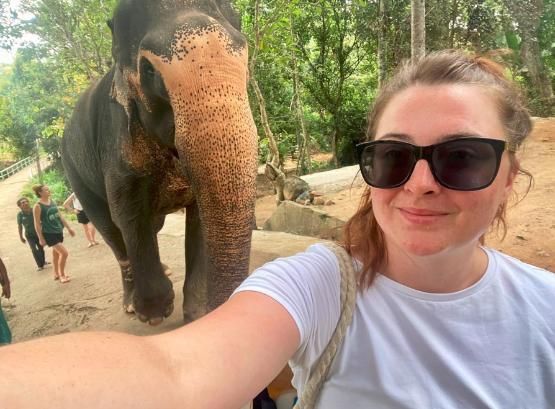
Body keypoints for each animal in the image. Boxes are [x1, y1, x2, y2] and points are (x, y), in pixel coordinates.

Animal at [62, 0, 258, 326]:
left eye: (245, 54)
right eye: (149, 69)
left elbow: (199, 217)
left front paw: (196, 314)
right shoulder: (117, 138)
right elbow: (128, 213)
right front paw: (154, 313)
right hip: (75, 175)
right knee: (111, 230)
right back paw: (131, 304)